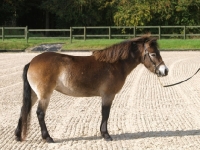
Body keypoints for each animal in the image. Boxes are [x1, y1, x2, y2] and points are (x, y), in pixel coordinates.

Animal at [14, 35, 169, 143]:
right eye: (153, 54)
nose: (165, 70)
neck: (114, 65)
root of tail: (32, 62)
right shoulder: (108, 95)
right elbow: (105, 113)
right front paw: (106, 134)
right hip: (44, 95)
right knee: (40, 113)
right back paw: (48, 137)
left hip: (34, 94)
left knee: (24, 109)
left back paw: (17, 135)